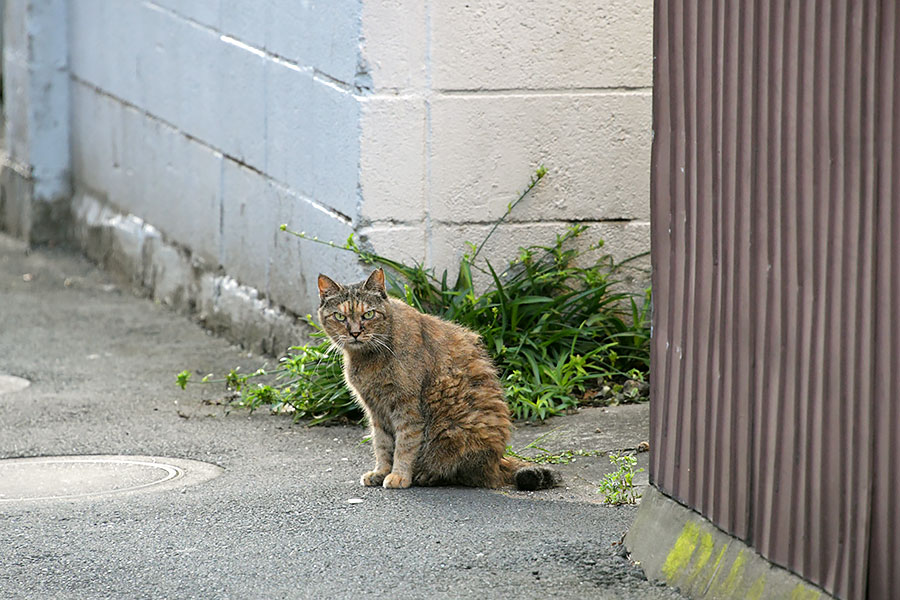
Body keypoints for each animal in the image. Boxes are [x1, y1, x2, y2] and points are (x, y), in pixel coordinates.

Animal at [314, 270, 556, 490]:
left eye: (368, 315)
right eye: (340, 317)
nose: (355, 332)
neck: (368, 358)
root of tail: (498, 461)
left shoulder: (407, 407)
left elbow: (404, 445)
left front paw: (398, 475)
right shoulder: (376, 410)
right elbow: (382, 444)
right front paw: (381, 471)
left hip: (455, 430)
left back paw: (427, 475)